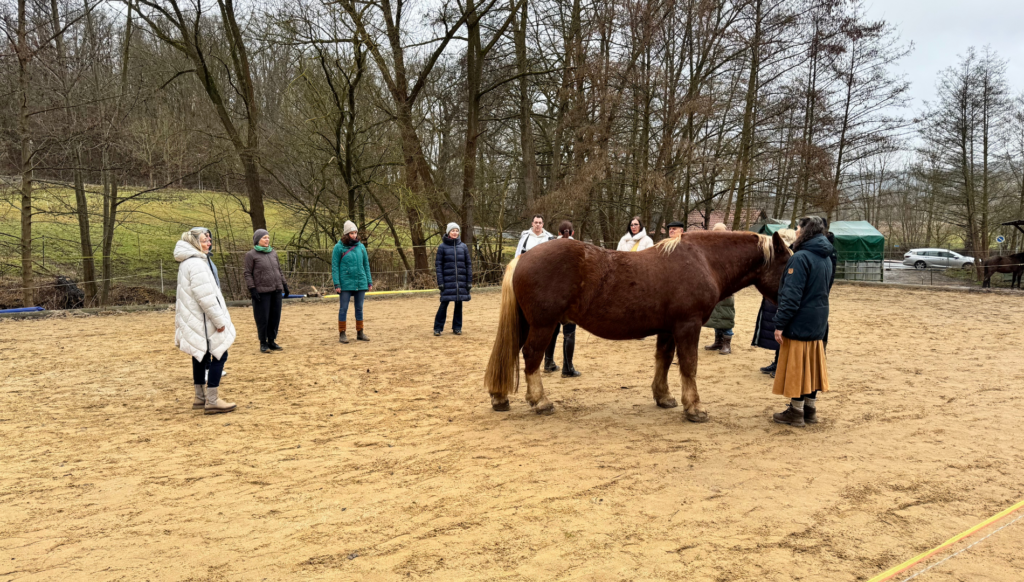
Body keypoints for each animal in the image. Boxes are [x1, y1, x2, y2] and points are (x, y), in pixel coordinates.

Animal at [485, 230, 790, 422]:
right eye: (790, 264)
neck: (703, 260)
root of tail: (523, 257)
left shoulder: (668, 329)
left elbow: (664, 360)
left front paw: (664, 397)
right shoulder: (687, 326)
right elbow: (689, 365)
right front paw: (694, 408)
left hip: (527, 323)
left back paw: (500, 399)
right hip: (543, 325)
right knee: (532, 356)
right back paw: (540, 402)